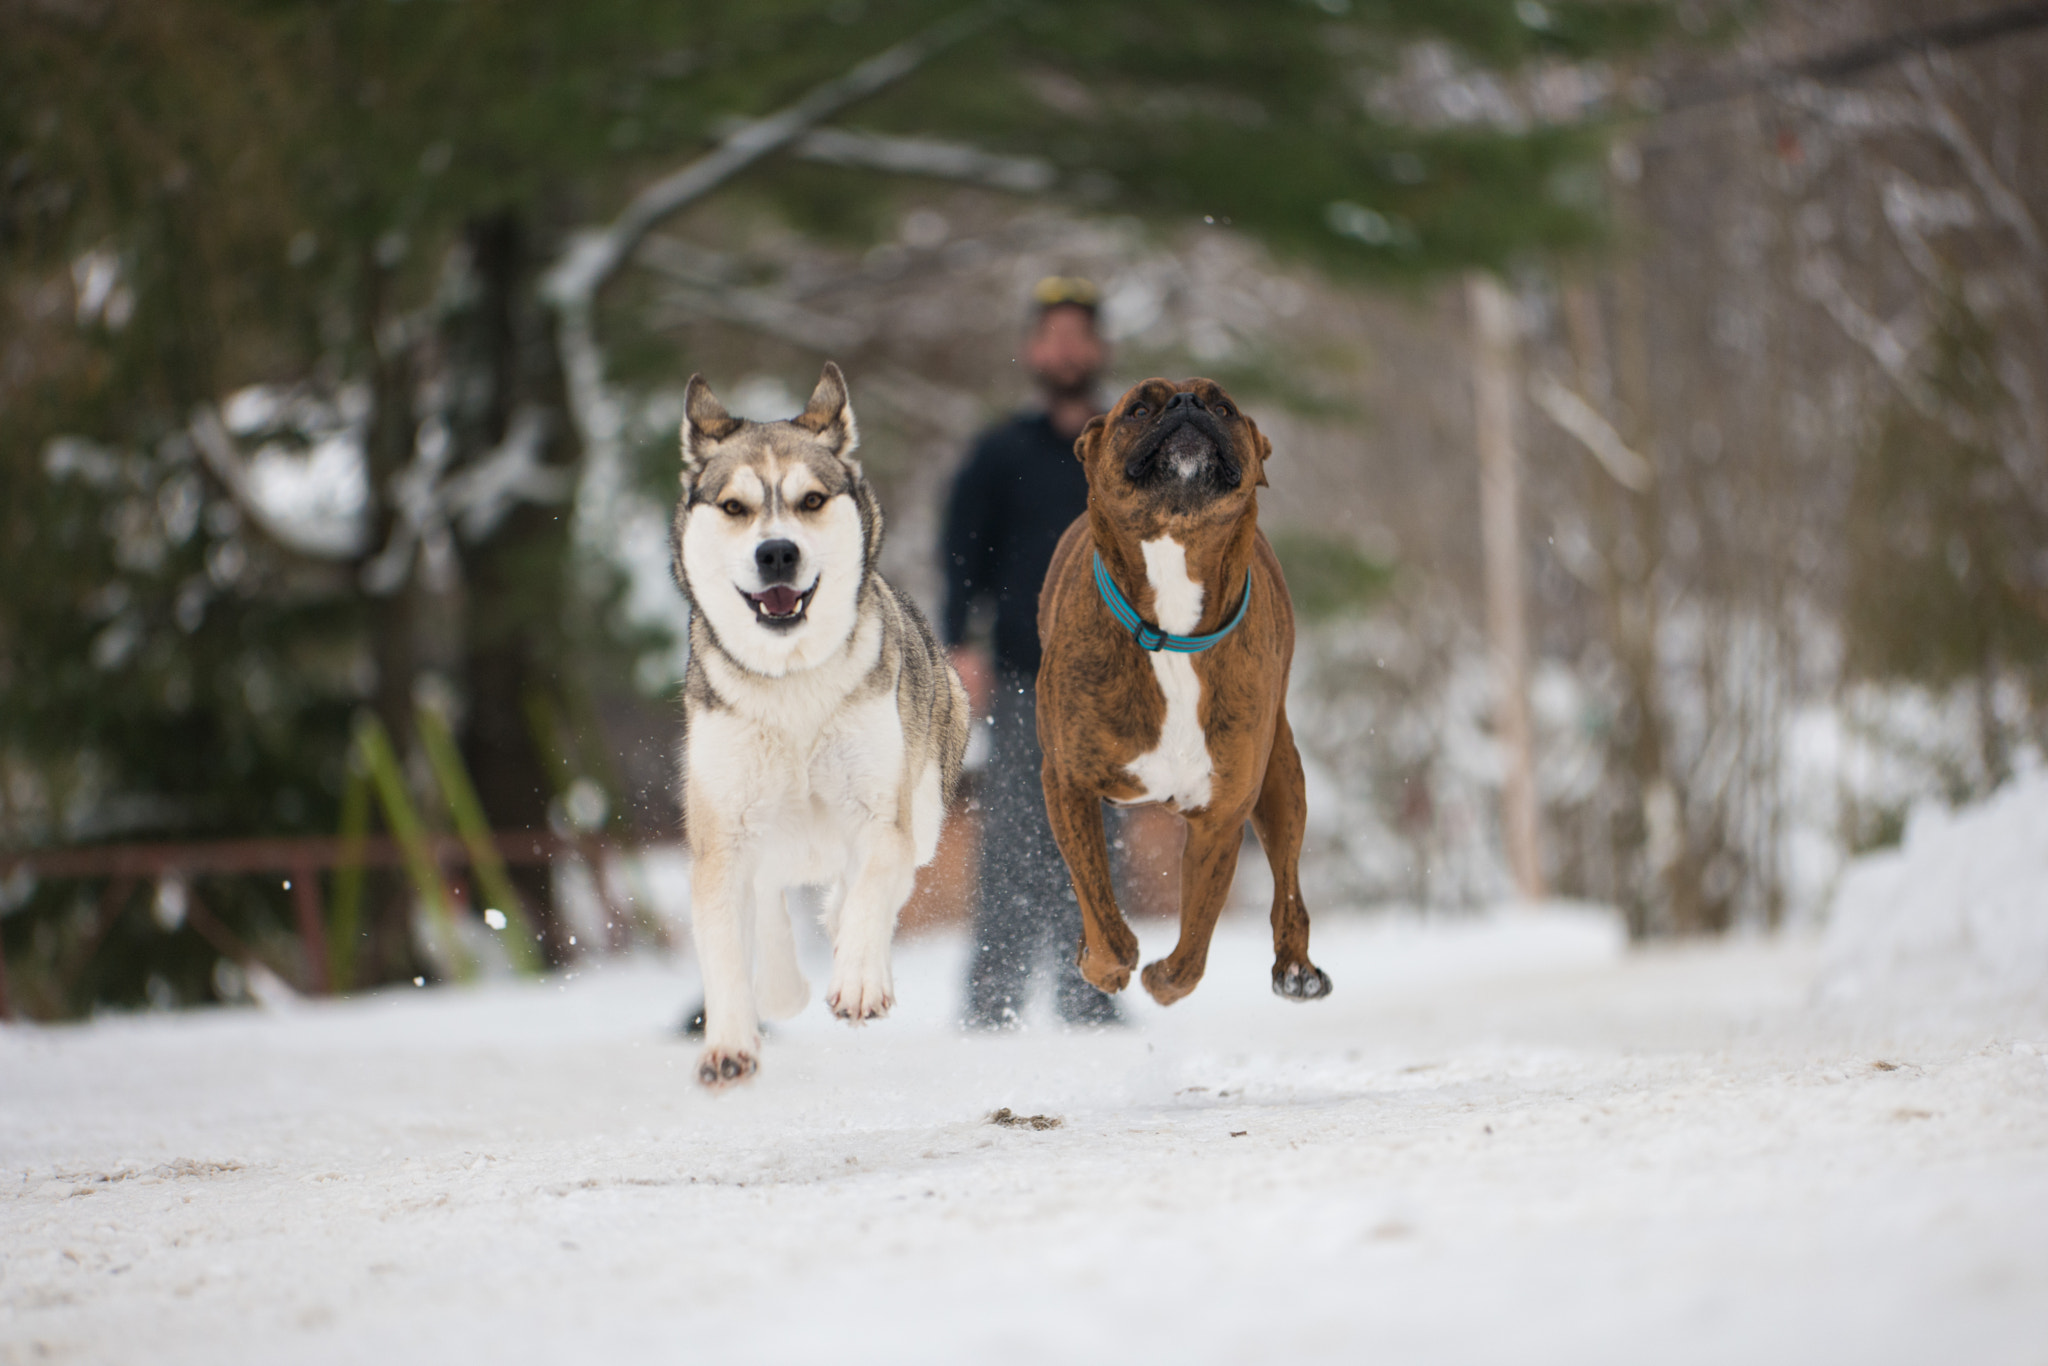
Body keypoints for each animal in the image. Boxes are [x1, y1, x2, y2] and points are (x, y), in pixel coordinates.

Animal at [663, 360, 966, 1089]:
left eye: (810, 500)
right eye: (735, 507)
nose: (777, 553)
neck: (791, 683)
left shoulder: (880, 812)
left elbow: (871, 889)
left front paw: (858, 980)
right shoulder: (722, 832)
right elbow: (725, 941)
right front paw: (729, 1043)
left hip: (927, 804)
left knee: (873, 884)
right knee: (773, 896)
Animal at [1040, 374, 1327, 1003]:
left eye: (1224, 405)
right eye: (1137, 408)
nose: (1188, 404)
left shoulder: (1222, 814)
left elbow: (1193, 947)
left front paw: (1160, 978)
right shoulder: (1068, 783)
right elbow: (1100, 911)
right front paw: (1105, 963)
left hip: (1282, 779)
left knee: (1290, 888)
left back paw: (1296, 966)